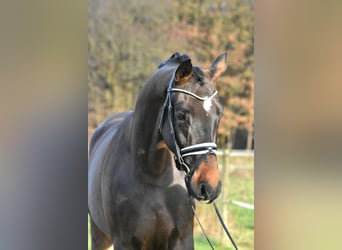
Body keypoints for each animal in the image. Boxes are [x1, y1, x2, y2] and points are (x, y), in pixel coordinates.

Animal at [88, 51, 228, 249]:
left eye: (219, 114)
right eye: (181, 115)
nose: (210, 186)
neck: (153, 176)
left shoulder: (182, 240)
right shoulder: (124, 242)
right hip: (99, 234)